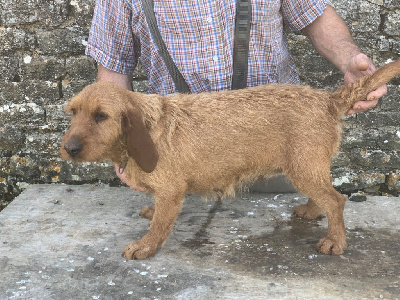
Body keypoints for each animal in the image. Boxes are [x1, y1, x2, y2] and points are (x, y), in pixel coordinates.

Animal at [60, 59, 400, 260]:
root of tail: (326, 99)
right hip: (306, 169)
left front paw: (145, 245)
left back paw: (335, 241)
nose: (68, 148)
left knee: (336, 201)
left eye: (101, 116)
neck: (146, 126)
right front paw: (151, 212)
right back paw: (310, 211)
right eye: (73, 112)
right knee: (324, 196)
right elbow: (158, 214)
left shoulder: (172, 191)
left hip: (303, 168)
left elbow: (159, 226)